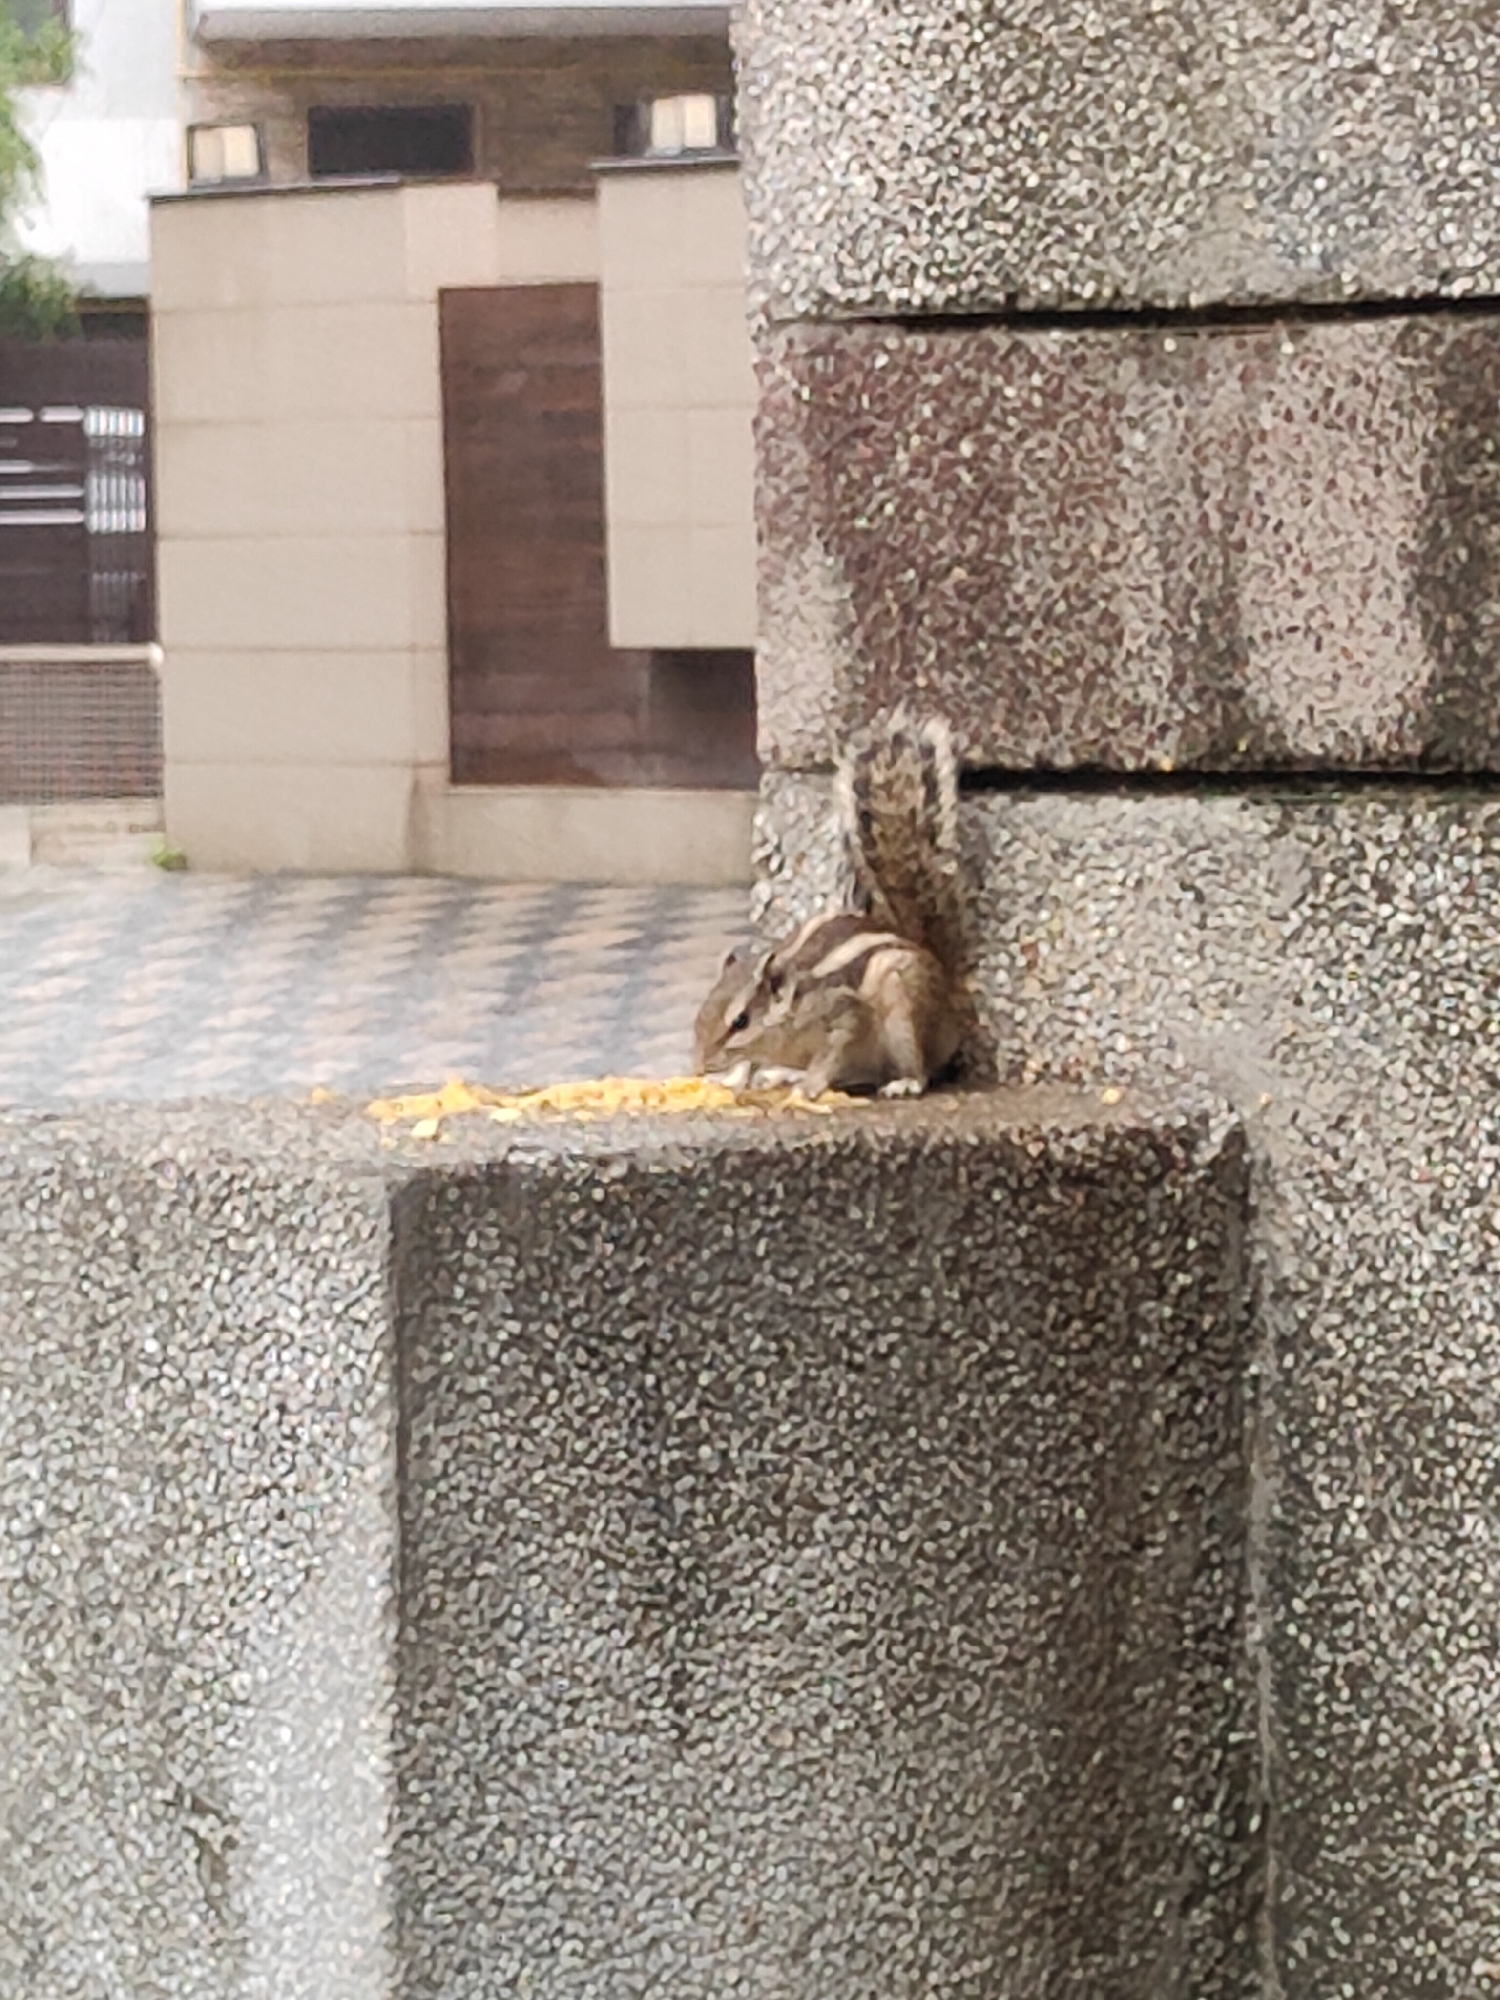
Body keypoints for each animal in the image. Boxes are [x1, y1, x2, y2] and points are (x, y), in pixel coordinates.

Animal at [693, 709, 970, 1098]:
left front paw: (809, 1087)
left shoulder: (843, 1015)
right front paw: (739, 1078)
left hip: (903, 1009)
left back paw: (904, 1083)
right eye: (702, 1012)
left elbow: (832, 1055)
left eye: (741, 1021)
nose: (700, 1066)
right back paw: (783, 1074)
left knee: (919, 1067)